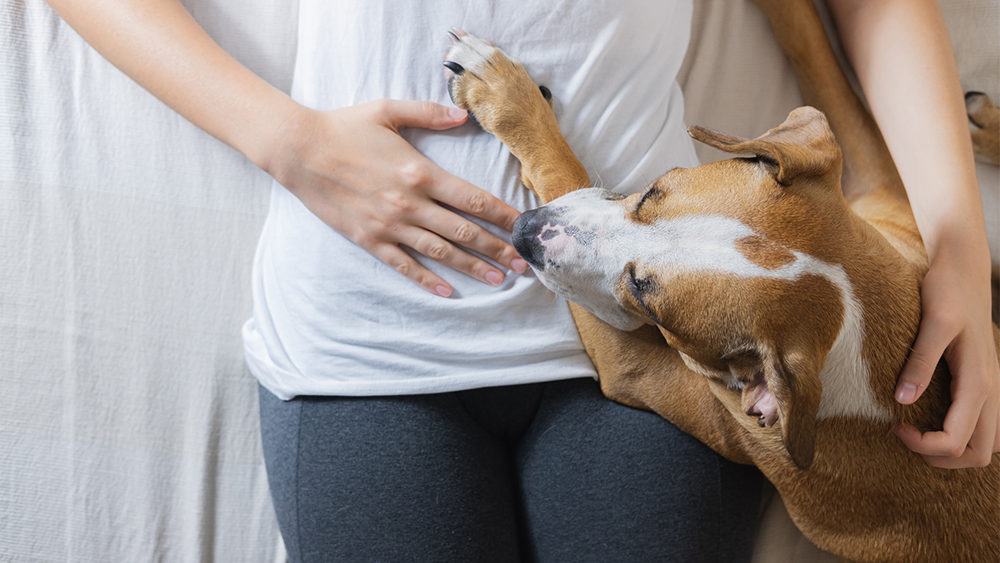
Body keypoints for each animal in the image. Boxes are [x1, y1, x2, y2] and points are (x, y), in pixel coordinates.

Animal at [448, 1, 1000, 563]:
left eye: (646, 300)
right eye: (652, 190)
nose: (525, 230)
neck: (859, 335)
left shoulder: (640, 372)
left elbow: (563, 174)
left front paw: (505, 98)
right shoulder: (882, 201)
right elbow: (816, 58)